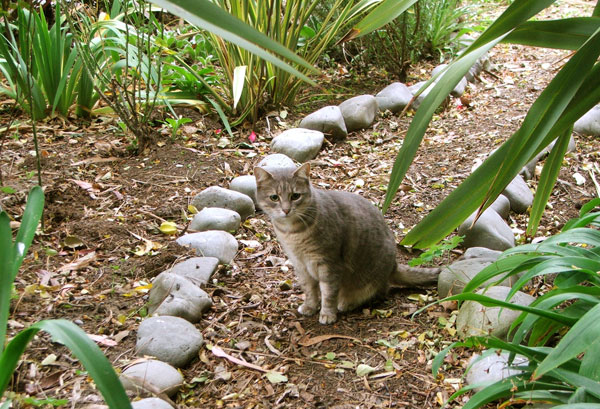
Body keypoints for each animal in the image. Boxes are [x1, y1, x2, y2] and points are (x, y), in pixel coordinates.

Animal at [254, 161, 440, 324]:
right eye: (274, 197)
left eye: (295, 196)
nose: (286, 210)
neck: (292, 233)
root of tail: (394, 265)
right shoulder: (300, 265)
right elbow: (310, 290)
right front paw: (310, 306)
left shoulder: (329, 264)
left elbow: (328, 293)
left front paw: (327, 314)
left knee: (376, 292)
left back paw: (346, 303)